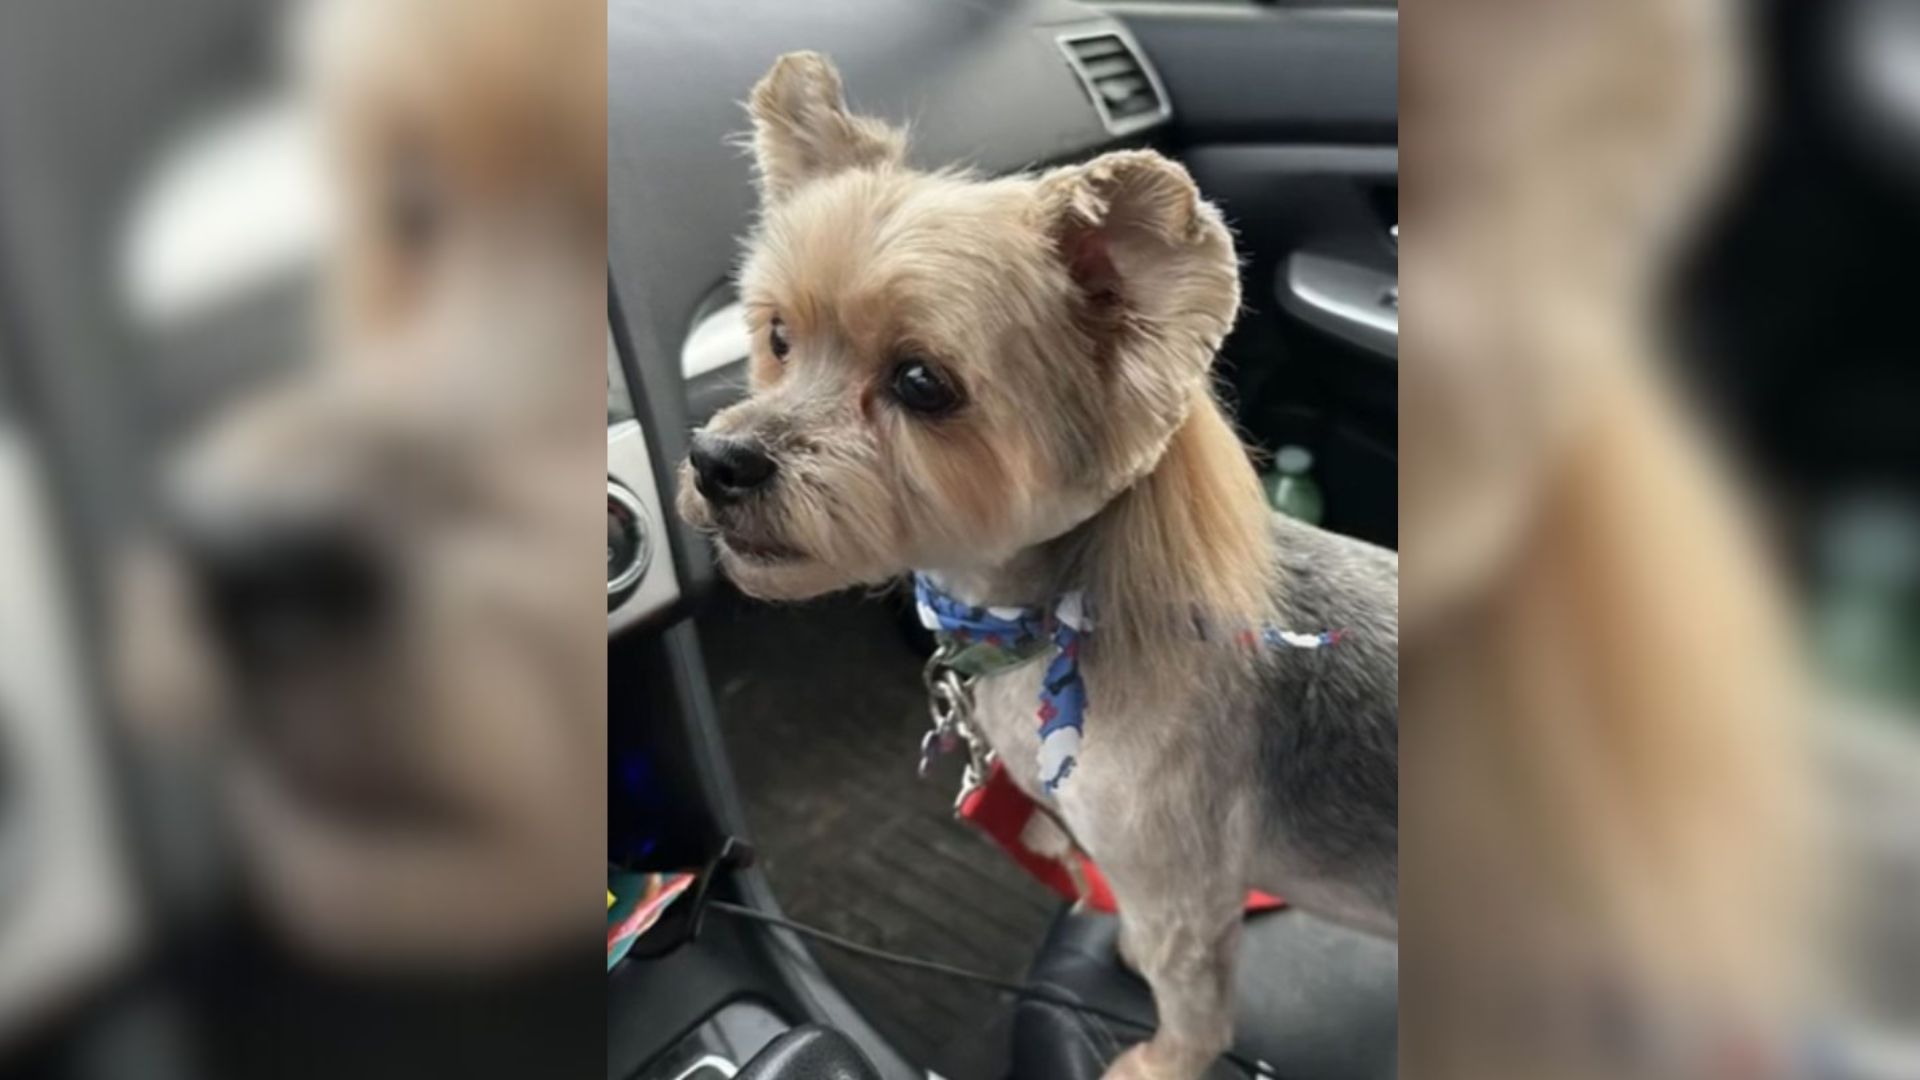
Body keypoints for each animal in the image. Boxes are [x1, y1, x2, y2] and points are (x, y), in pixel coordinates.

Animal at [683, 52, 1405, 1076]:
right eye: (779, 336)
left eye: (920, 382)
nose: (717, 460)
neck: (1058, 616)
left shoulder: (1181, 879)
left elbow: (1192, 999)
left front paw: (1156, 1061)